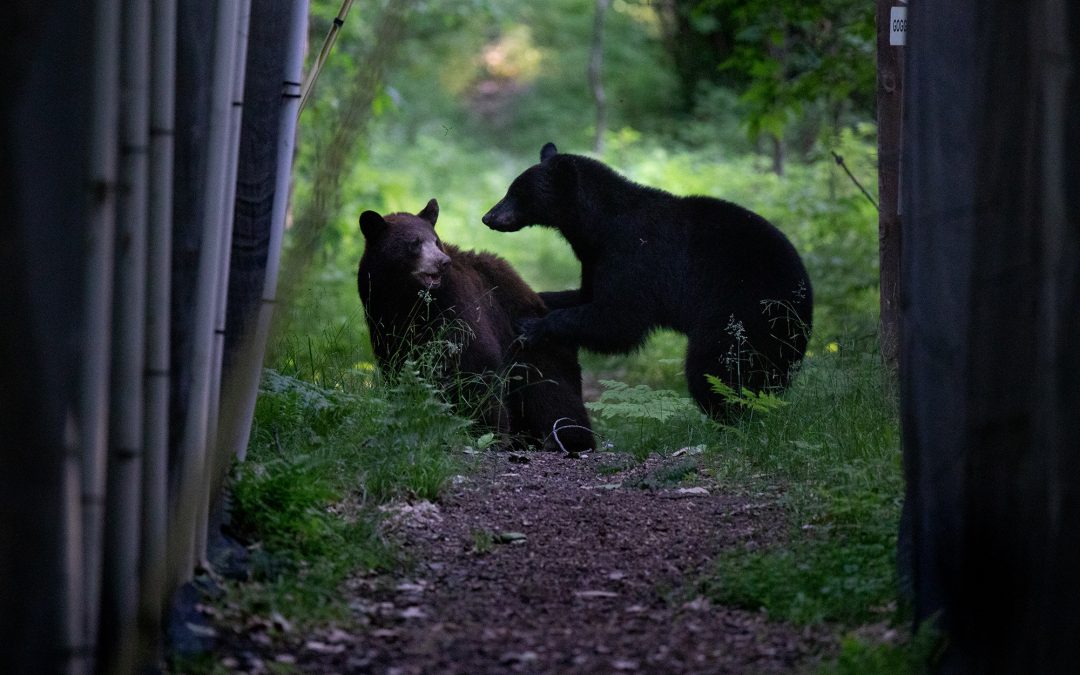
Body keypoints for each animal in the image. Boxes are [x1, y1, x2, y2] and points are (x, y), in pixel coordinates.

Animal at [358, 198, 596, 453]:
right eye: (414, 243)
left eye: (436, 241)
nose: (443, 262)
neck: (407, 297)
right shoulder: (381, 313)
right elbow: (396, 361)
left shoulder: (456, 302)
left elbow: (477, 356)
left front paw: (489, 432)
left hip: (534, 347)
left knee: (551, 392)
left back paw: (568, 437)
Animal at [481, 142, 812, 419]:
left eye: (517, 192)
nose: (488, 217)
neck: (599, 225)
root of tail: (804, 307)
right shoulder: (595, 257)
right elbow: (587, 296)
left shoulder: (634, 254)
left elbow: (620, 317)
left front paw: (533, 328)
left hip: (743, 311)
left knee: (714, 367)